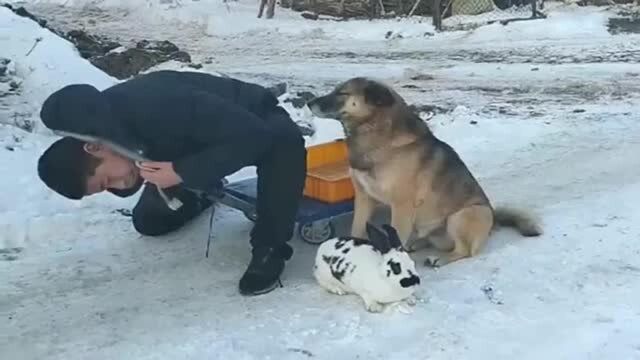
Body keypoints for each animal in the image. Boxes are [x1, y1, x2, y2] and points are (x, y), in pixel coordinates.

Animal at [304, 76, 540, 268]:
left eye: (342, 93)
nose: (308, 102)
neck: (377, 134)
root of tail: (493, 220)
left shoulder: (401, 206)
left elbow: (396, 236)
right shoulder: (364, 198)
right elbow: (357, 229)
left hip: (463, 215)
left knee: (464, 251)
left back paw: (438, 258)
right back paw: (416, 243)